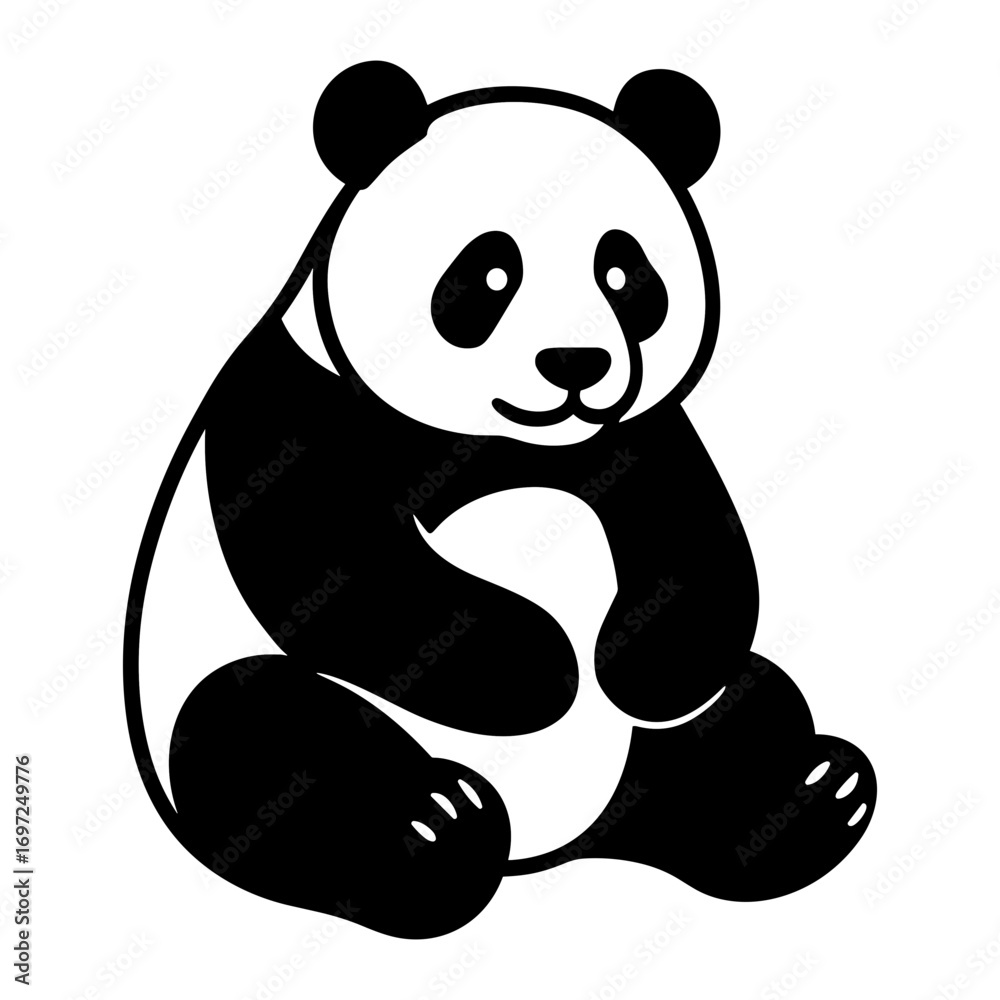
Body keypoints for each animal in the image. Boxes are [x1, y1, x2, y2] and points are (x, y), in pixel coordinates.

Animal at [124, 62, 876, 940]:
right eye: (489, 273)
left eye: (623, 272)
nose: (576, 363)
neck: (504, 441)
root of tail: (555, 846)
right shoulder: (297, 404)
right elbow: (340, 572)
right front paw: (542, 667)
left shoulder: (637, 433)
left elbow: (694, 547)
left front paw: (629, 668)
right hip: (236, 715)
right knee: (266, 736)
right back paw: (432, 829)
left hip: (672, 755)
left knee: (746, 715)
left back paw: (808, 797)